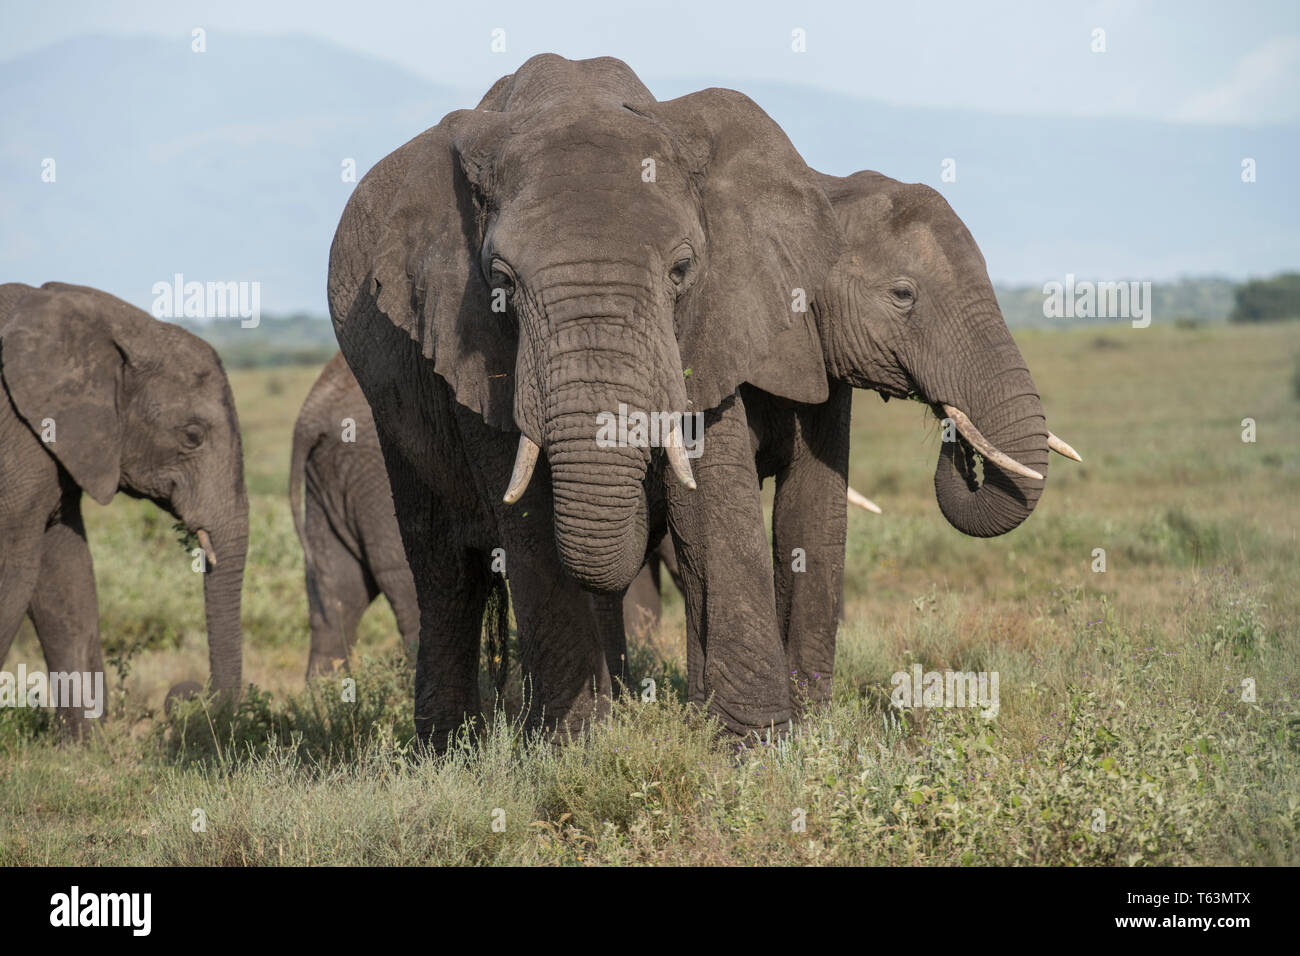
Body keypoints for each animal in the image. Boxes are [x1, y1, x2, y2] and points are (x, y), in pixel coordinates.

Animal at [0, 280, 248, 738]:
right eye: (192, 435)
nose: (184, 693)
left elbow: (66, 569)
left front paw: (83, 745)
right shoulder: (15, 437)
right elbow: (16, 567)